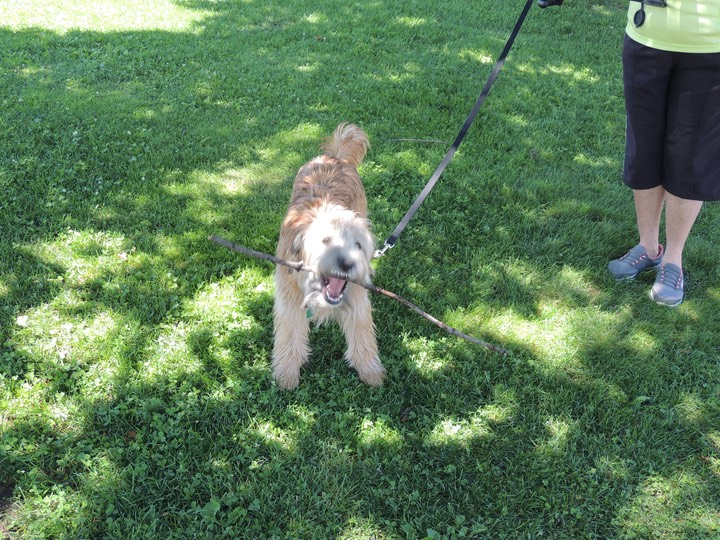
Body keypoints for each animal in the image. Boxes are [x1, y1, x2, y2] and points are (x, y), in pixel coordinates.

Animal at [272, 124, 386, 390]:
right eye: (325, 241)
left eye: (358, 243)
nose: (347, 264)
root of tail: (334, 157)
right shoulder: (289, 299)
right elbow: (289, 335)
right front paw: (286, 374)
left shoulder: (357, 296)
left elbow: (362, 331)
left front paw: (370, 370)